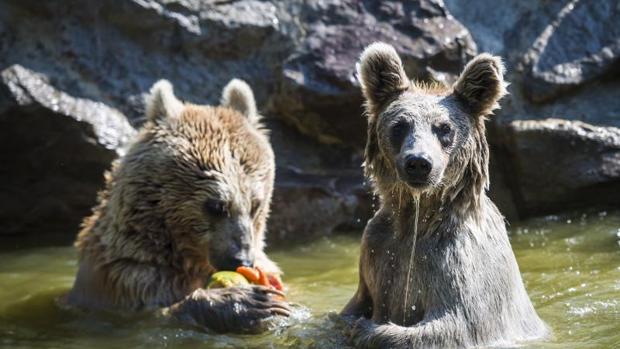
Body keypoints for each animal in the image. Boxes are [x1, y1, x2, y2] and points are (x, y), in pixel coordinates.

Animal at [66, 78, 290, 332]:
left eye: (255, 204)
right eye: (216, 206)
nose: (240, 259)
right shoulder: (129, 280)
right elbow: (154, 314)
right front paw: (245, 302)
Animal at [340, 43, 548, 348]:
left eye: (445, 128)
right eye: (400, 125)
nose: (418, 162)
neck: (419, 218)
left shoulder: (457, 262)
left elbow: (452, 325)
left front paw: (364, 329)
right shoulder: (376, 251)